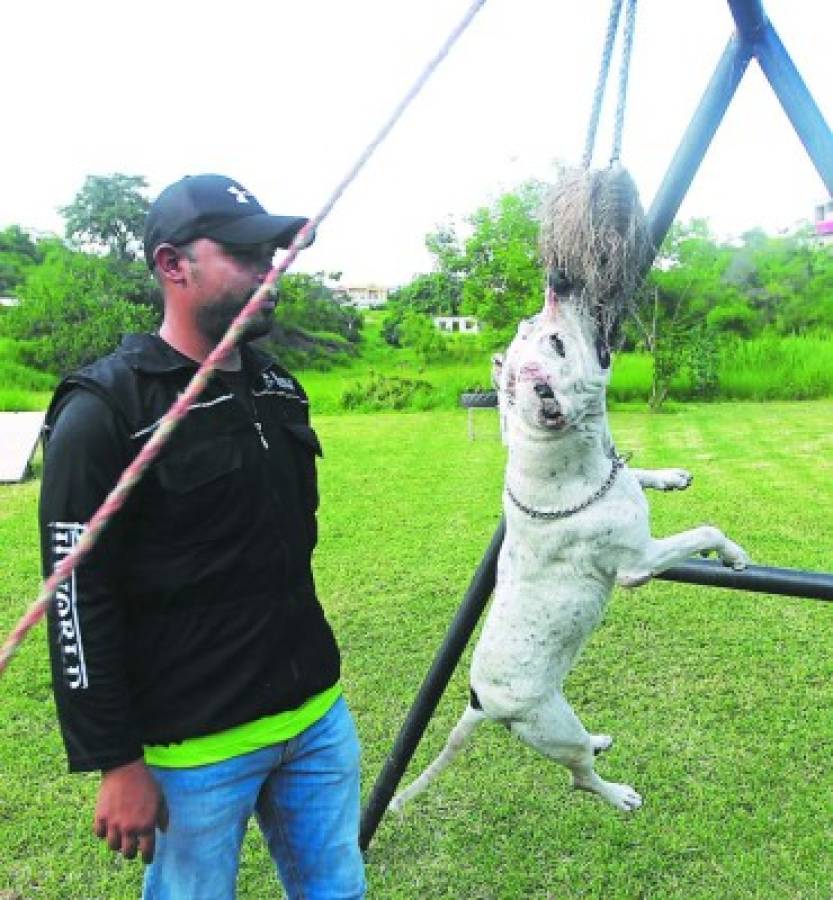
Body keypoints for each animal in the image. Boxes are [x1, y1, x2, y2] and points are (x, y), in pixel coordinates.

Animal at [390, 296, 748, 816]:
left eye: (534, 333)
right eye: (557, 343)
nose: (558, 300)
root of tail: (479, 701)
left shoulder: (618, 476)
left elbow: (633, 471)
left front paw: (670, 476)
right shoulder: (641, 559)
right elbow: (705, 528)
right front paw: (732, 554)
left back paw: (598, 741)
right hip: (554, 732)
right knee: (581, 777)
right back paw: (617, 794)